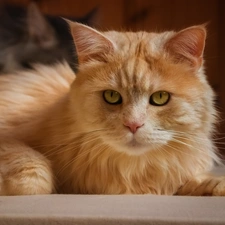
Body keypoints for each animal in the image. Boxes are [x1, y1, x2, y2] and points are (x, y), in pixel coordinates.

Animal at [0, 21, 225, 196]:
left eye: (160, 97)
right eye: (112, 96)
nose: (133, 125)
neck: (133, 171)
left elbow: (195, 180)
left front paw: (212, 186)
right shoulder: (10, 139)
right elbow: (35, 172)